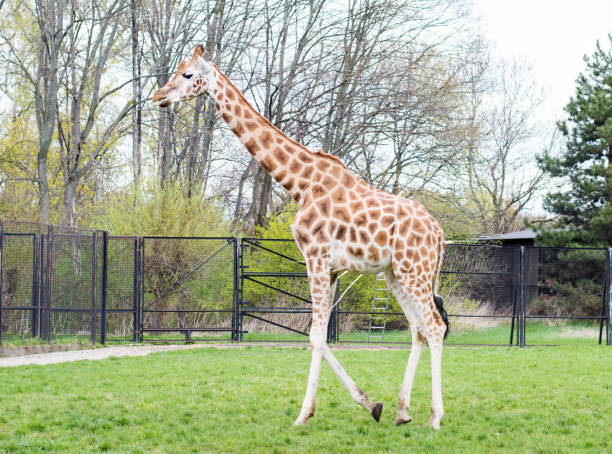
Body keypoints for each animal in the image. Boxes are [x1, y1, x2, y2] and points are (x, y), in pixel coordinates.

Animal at [153, 45, 450, 430]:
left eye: (187, 75)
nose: (158, 96)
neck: (299, 184)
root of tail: (439, 233)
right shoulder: (332, 269)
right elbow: (319, 336)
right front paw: (373, 405)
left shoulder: (316, 258)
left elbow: (314, 336)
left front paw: (303, 413)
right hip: (396, 274)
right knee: (419, 329)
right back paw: (402, 411)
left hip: (414, 272)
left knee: (435, 326)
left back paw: (435, 417)